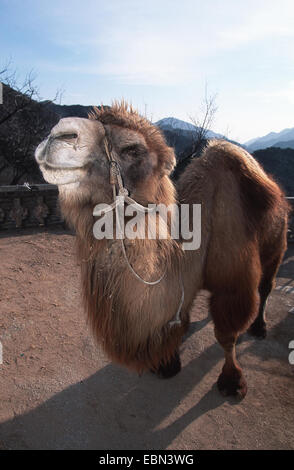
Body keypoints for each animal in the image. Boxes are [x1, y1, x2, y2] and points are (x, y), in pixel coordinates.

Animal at [35, 103, 290, 396]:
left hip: (277, 243)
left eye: (132, 148)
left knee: (267, 285)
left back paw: (260, 327)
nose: (59, 134)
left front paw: (233, 382)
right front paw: (168, 363)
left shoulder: (235, 285)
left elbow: (227, 335)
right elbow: (180, 317)